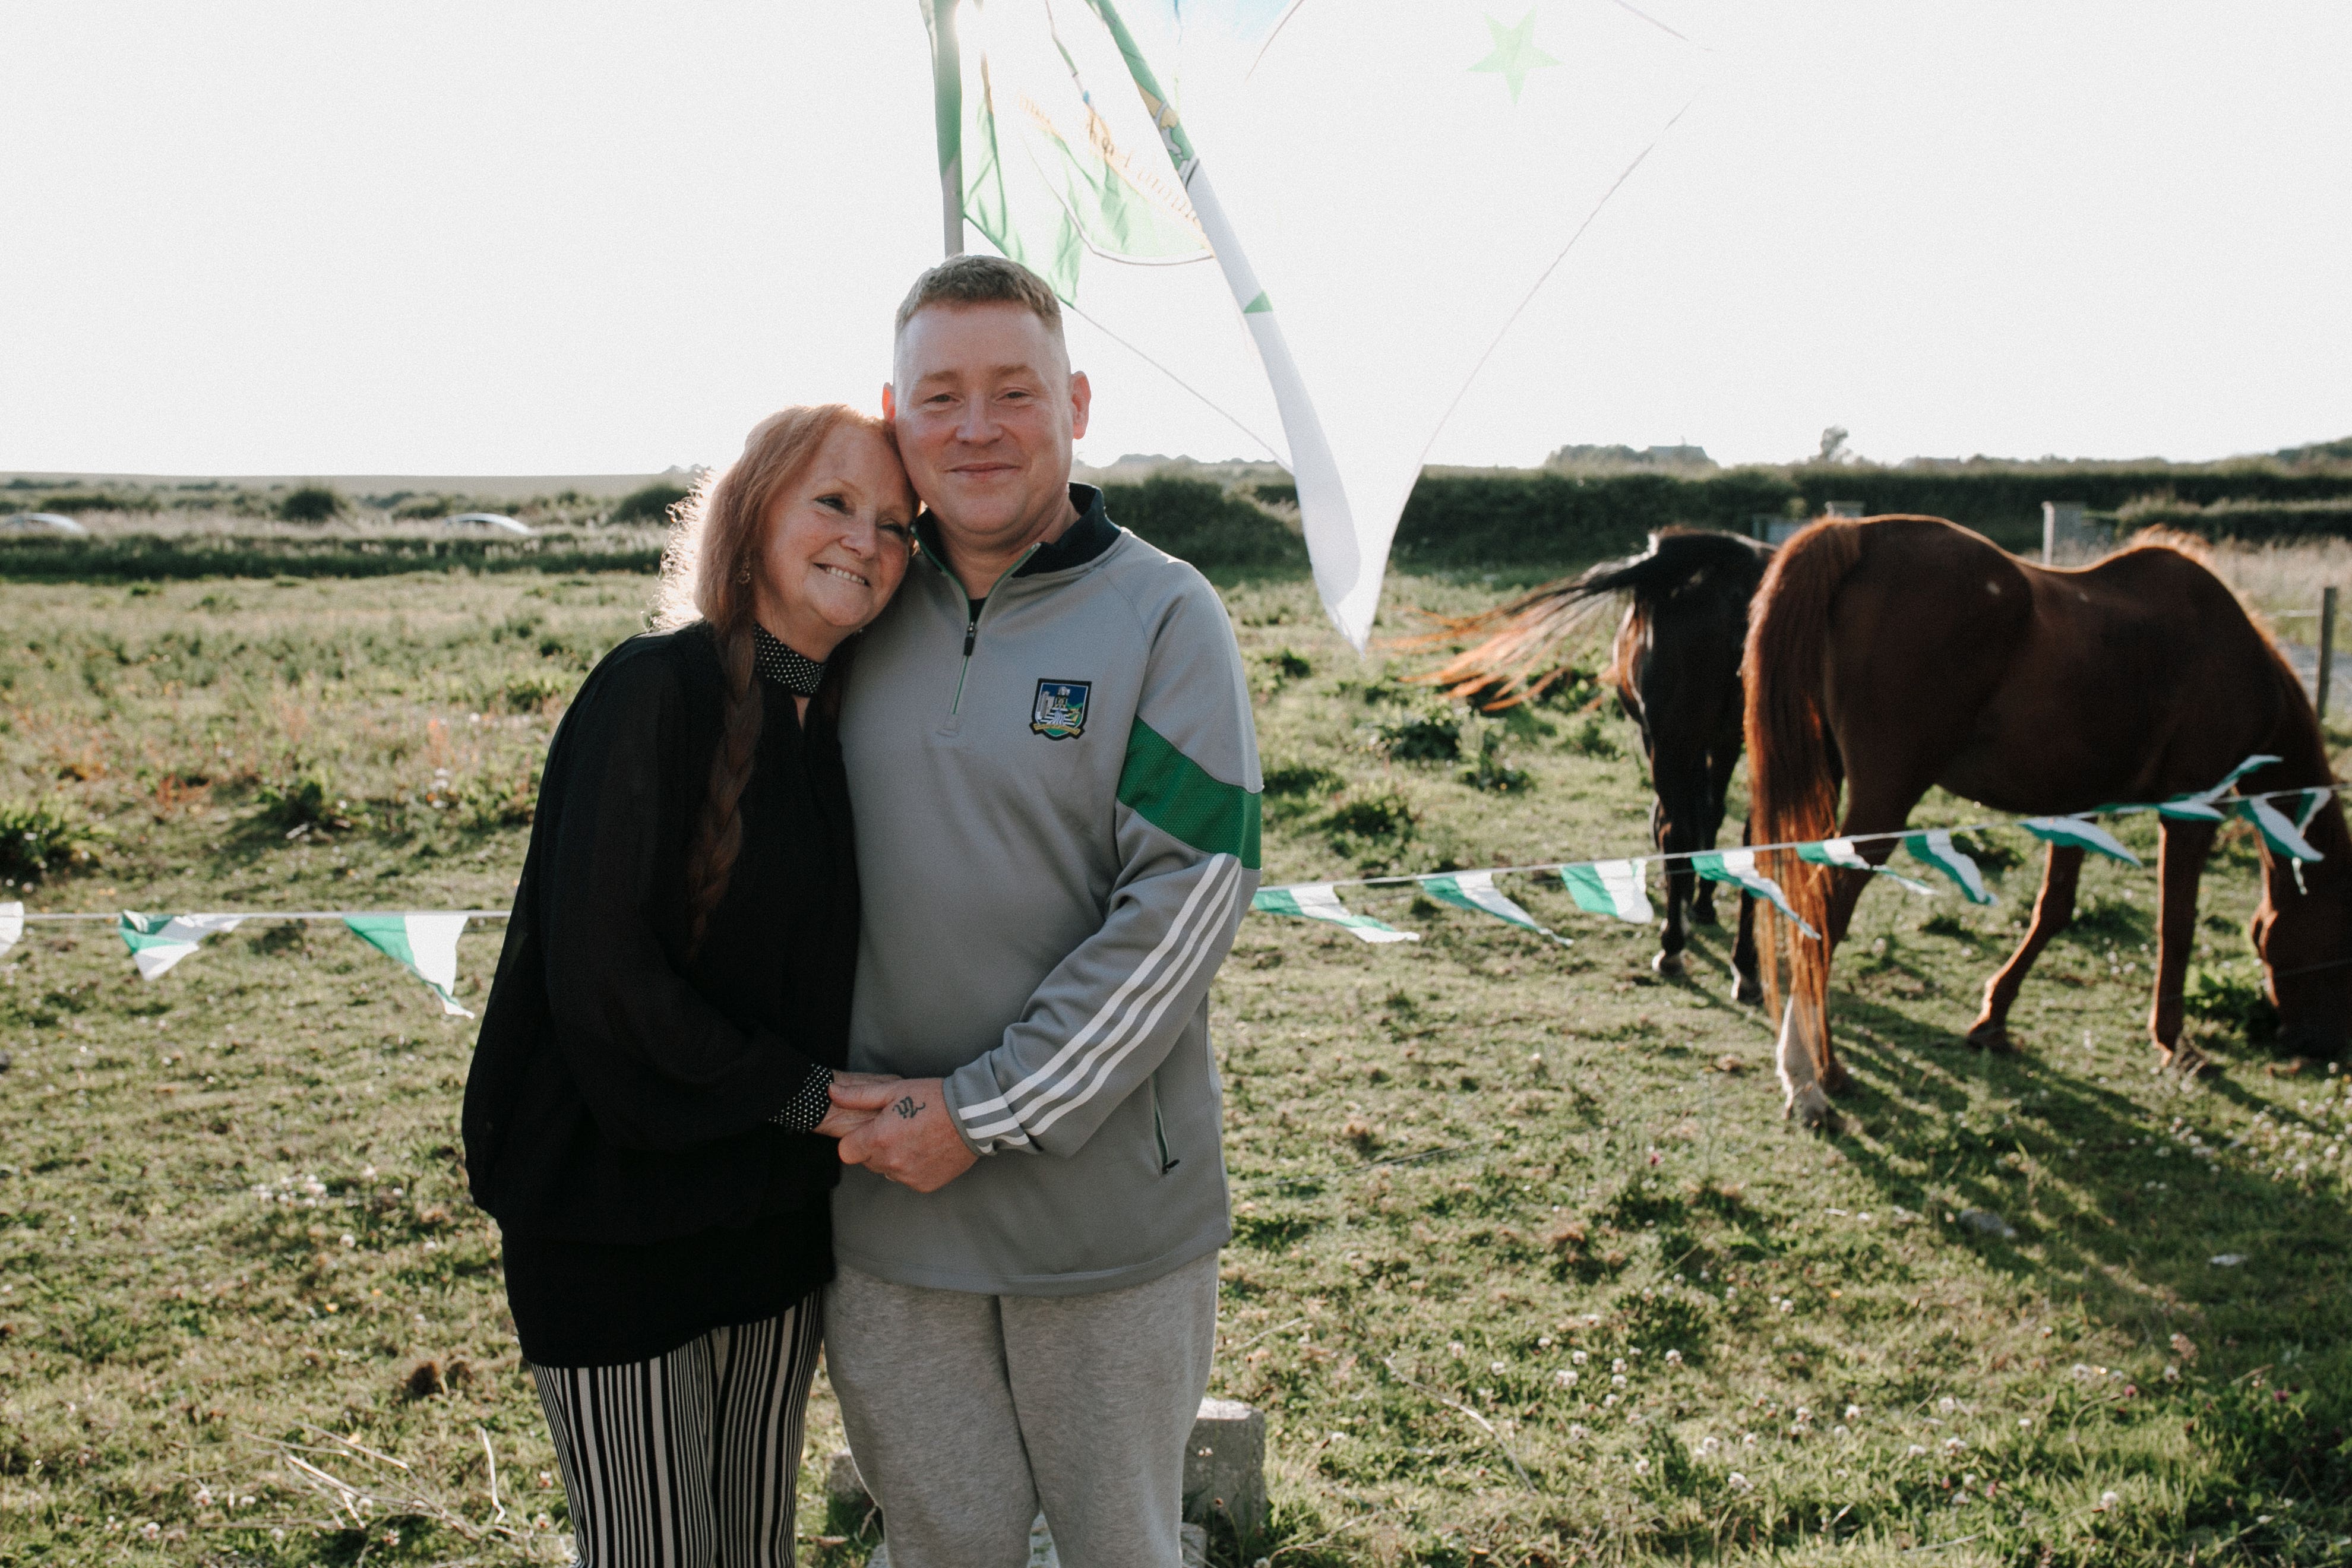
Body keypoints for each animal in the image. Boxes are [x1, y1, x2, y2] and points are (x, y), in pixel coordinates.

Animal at [1411, 526, 1778, 992]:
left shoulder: (1674, 739)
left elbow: (1690, 821)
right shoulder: (1724, 741)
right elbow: (1710, 815)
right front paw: (1703, 903)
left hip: (1675, 739)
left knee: (1680, 833)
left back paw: (1676, 949)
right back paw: (1744, 964)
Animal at [1740, 514, 2342, 1128]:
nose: (2320, 1045)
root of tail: (1858, 533)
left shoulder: (2077, 806)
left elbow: (2055, 908)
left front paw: (1993, 1020)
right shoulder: (2192, 813)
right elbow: (2177, 926)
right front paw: (2175, 1042)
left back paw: (1825, 1065)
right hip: (1884, 802)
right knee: (1823, 911)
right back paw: (1807, 1077)